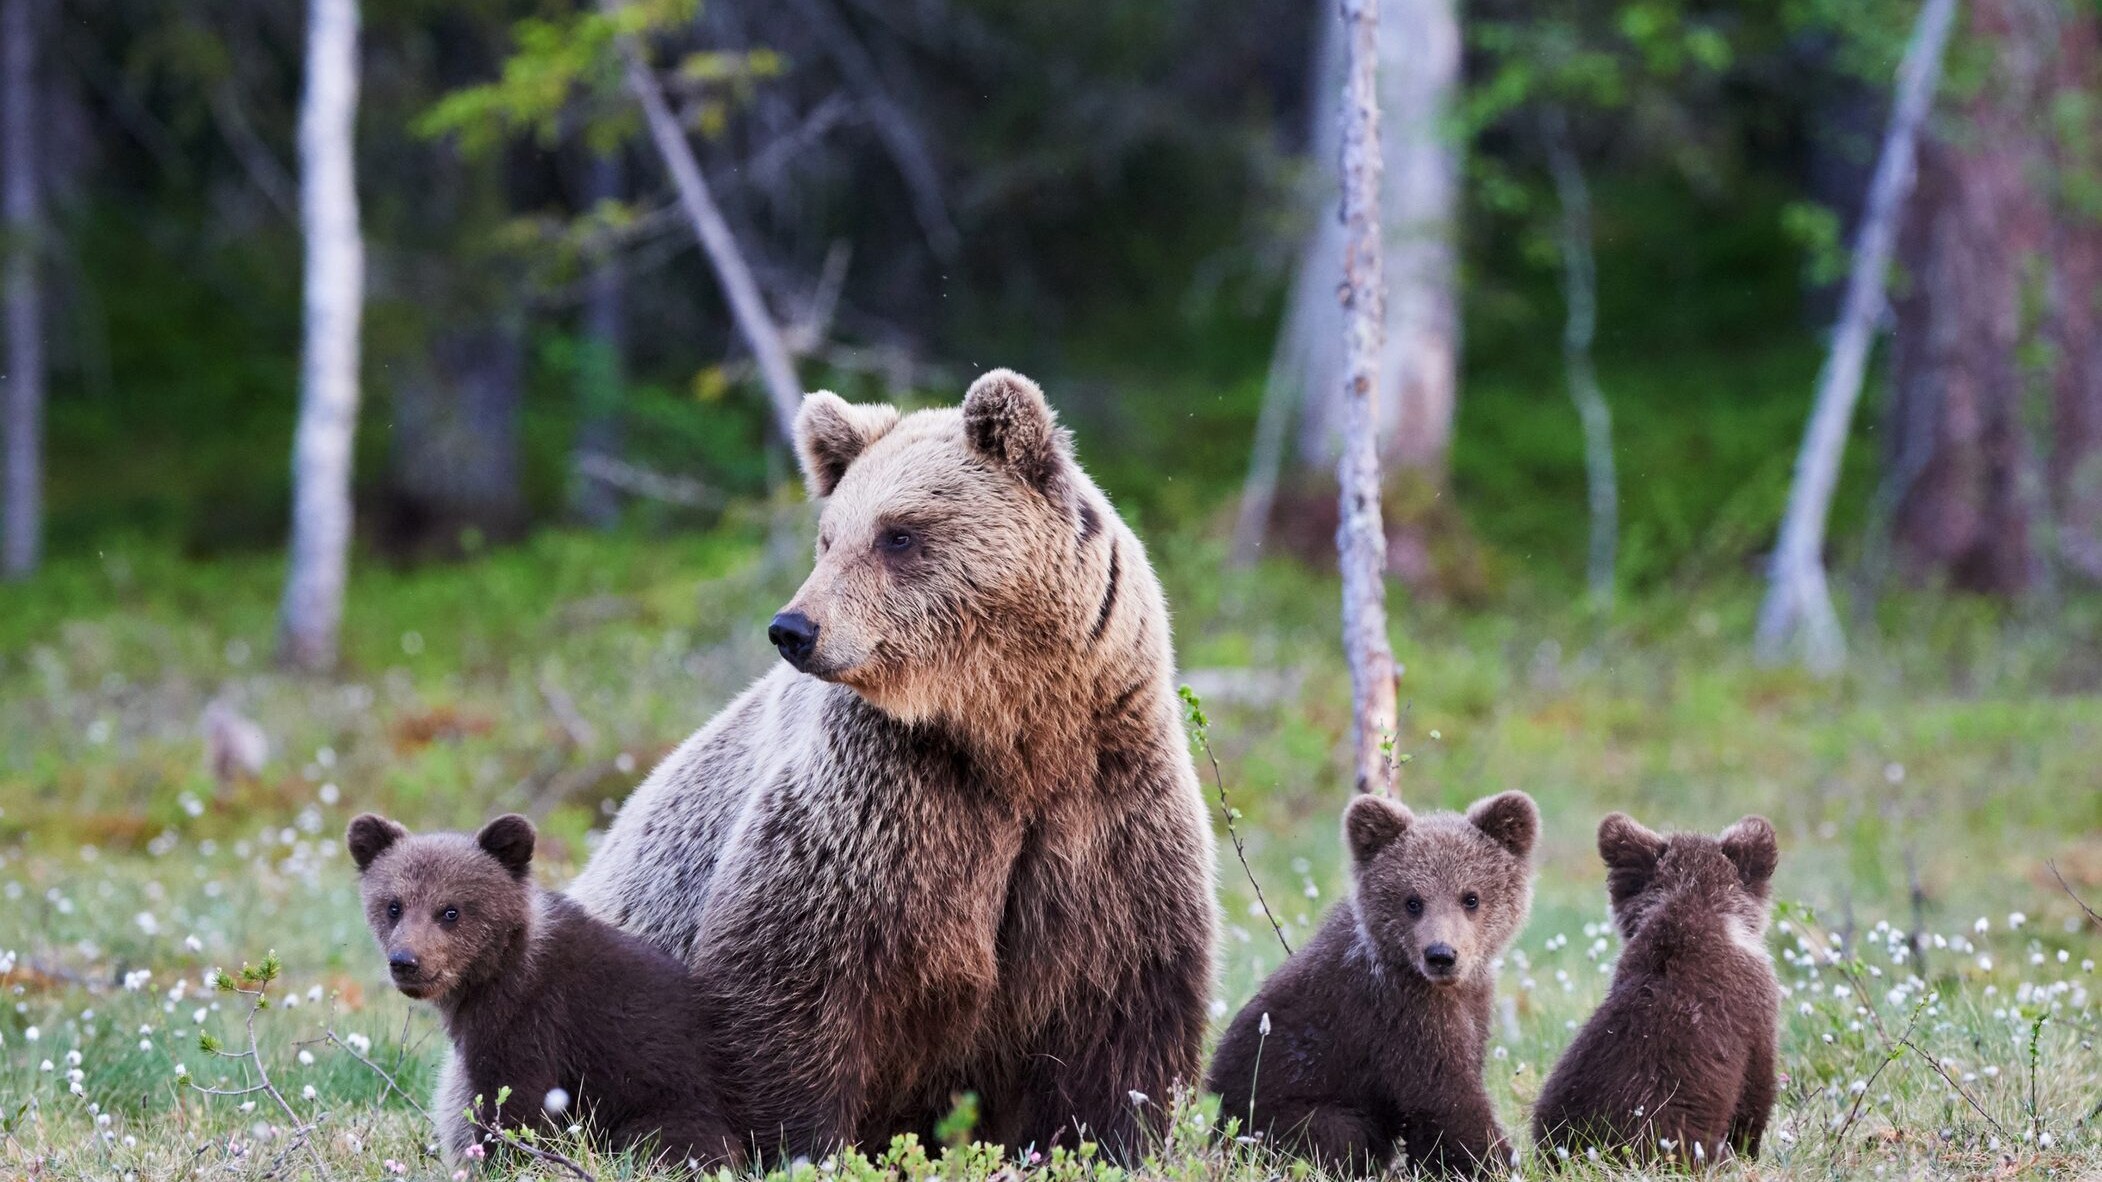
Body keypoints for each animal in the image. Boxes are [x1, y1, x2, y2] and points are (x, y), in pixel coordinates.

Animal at [346, 812, 741, 1168]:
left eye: (450, 911)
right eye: (394, 905)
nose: (405, 961)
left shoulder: (532, 1021)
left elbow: (514, 1104)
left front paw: (502, 1161)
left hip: (673, 1103)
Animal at [564, 369, 1218, 1162]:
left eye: (898, 533)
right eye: (828, 537)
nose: (793, 628)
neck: (1012, 735)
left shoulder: (1105, 810)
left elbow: (1123, 1014)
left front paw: (1112, 1141)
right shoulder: (881, 805)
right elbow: (792, 984)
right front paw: (801, 1146)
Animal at [1207, 790, 1539, 1178]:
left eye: (1471, 897)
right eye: (1413, 901)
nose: (1441, 954)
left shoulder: (1472, 1004)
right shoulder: (1399, 1015)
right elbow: (1445, 1099)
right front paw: (1503, 1163)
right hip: (1279, 1110)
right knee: (1339, 1134)